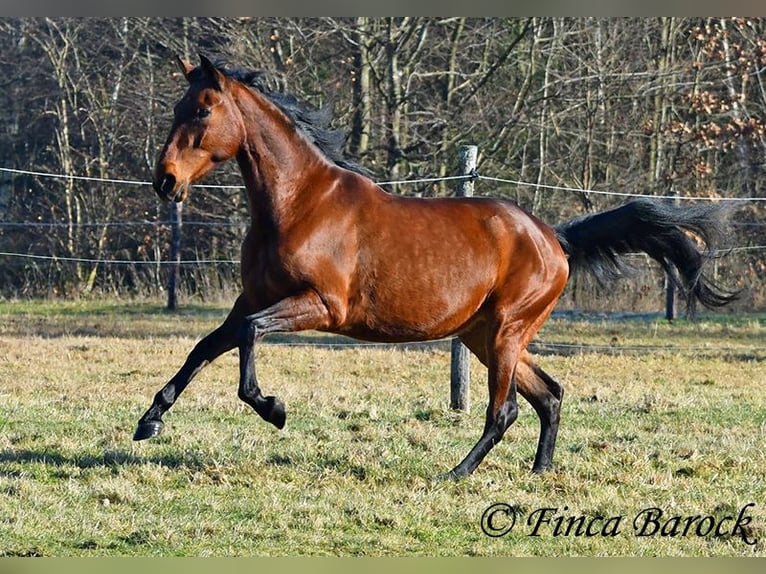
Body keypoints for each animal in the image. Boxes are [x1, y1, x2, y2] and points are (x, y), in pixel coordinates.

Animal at [135, 56, 740, 482]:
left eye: (202, 110)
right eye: (176, 109)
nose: (164, 181)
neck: (299, 204)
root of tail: (555, 238)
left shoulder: (321, 306)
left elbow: (249, 335)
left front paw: (273, 408)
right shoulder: (253, 297)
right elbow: (209, 344)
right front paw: (150, 420)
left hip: (507, 332)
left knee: (505, 410)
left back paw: (455, 473)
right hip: (483, 335)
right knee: (548, 394)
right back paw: (539, 473)